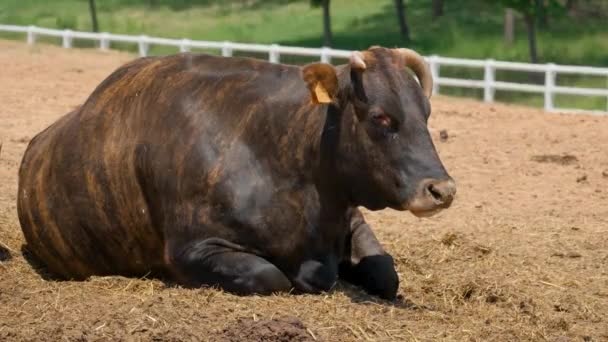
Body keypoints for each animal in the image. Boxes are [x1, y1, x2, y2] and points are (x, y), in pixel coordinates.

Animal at [16, 46, 454, 300]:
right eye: (381, 116)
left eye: (427, 112)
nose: (442, 189)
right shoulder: (192, 249)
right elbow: (270, 276)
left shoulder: (352, 221)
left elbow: (385, 272)